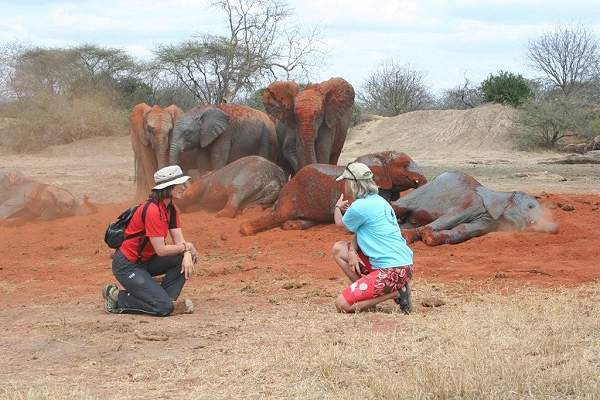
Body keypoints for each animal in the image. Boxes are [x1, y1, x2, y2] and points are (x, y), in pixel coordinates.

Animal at [239, 152, 426, 236]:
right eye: (405, 165)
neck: (378, 154)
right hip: (291, 196)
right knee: (279, 215)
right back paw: (245, 229)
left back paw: (292, 225)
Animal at [394, 170, 556, 245]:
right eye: (530, 206)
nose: (555, 228)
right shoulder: (471, 202)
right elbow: (448, 219)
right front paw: (409, 237)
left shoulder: (487, 223)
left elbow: (464, 229)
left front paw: (429, 238)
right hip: (422, 193)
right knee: (398, 207)